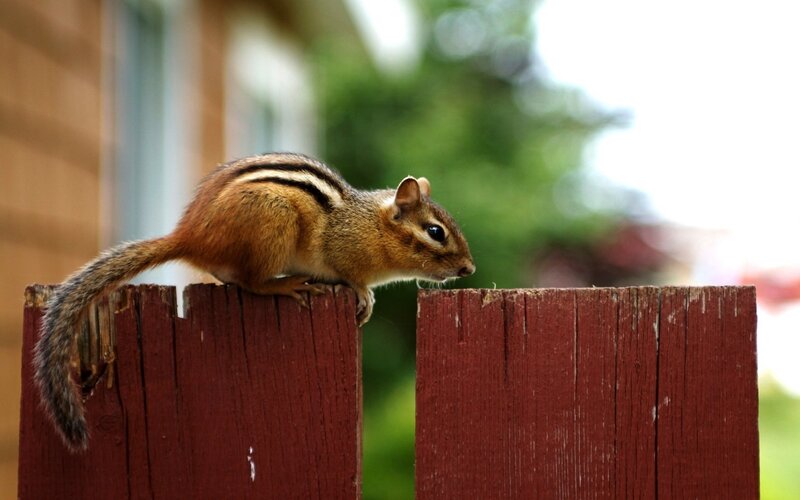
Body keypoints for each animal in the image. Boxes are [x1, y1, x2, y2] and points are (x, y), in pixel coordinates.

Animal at [34, 152, 475, 452]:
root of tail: (190, 236)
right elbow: (351, 278)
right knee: (251, 283)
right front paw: (364, 297)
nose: (469, 268)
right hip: (272, 224)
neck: (369, 225)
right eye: (435, 232)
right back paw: (286, 285)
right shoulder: (342, 254)